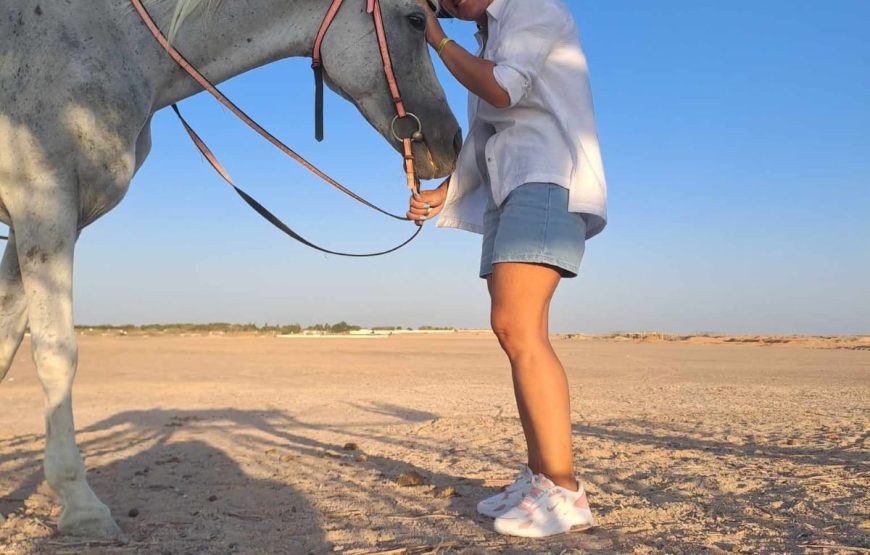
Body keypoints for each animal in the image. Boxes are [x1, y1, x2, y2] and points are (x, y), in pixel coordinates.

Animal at [0, 0, 460, 538]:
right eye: (415, 20)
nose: (452, 139)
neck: (118, 43)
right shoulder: (44, 207)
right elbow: (55, 354)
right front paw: (81, 505)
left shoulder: (37, 227)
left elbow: (5, 344)